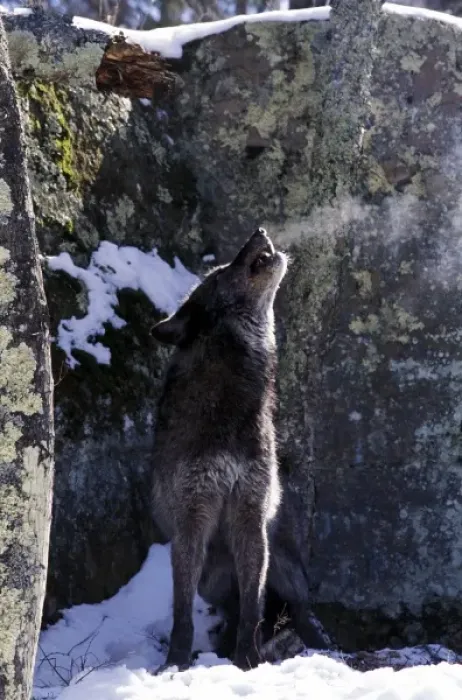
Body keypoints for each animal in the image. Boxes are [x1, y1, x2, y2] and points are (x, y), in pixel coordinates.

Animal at [151, 228, 287, 671]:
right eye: (220, 271)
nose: (260, 231)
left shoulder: (250, 516)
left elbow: (252, 606)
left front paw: (249, 660)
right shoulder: (192, 518)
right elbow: (181, 609)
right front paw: (175, 664)